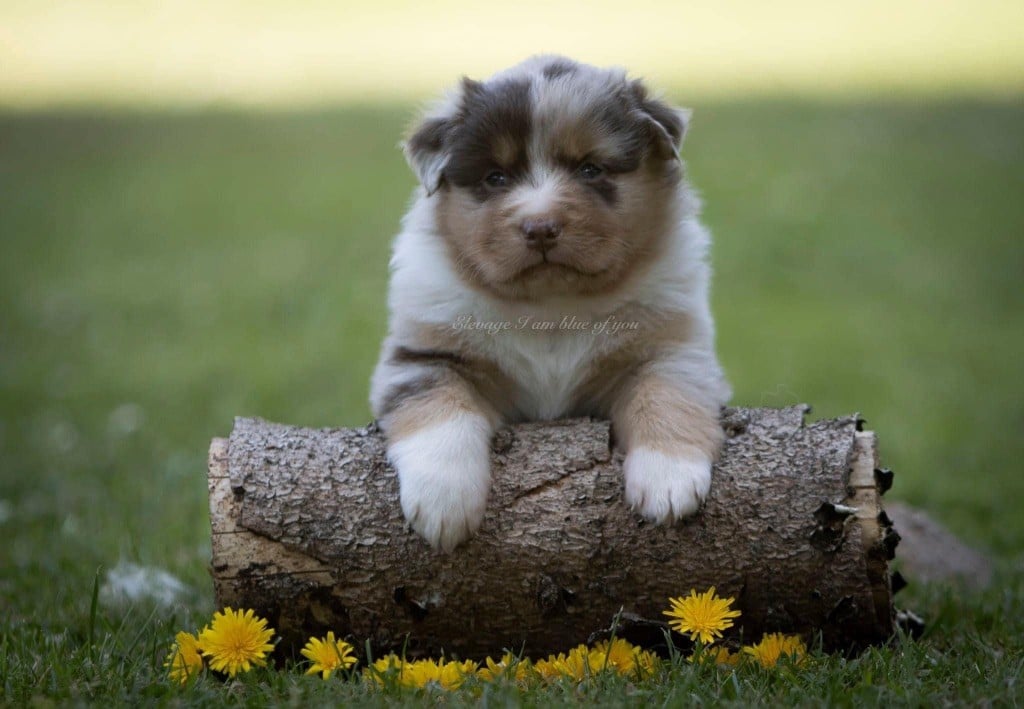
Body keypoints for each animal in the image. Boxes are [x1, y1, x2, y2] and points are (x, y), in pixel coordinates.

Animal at [372, 56, 733, 553]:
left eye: (590, 169)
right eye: (496, 178)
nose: (540, 227)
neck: (550, 306)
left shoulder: (672, 348)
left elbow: (666, 394)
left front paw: (668, 482)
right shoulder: (425, 354)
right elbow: (439, 410)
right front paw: (443, 504)